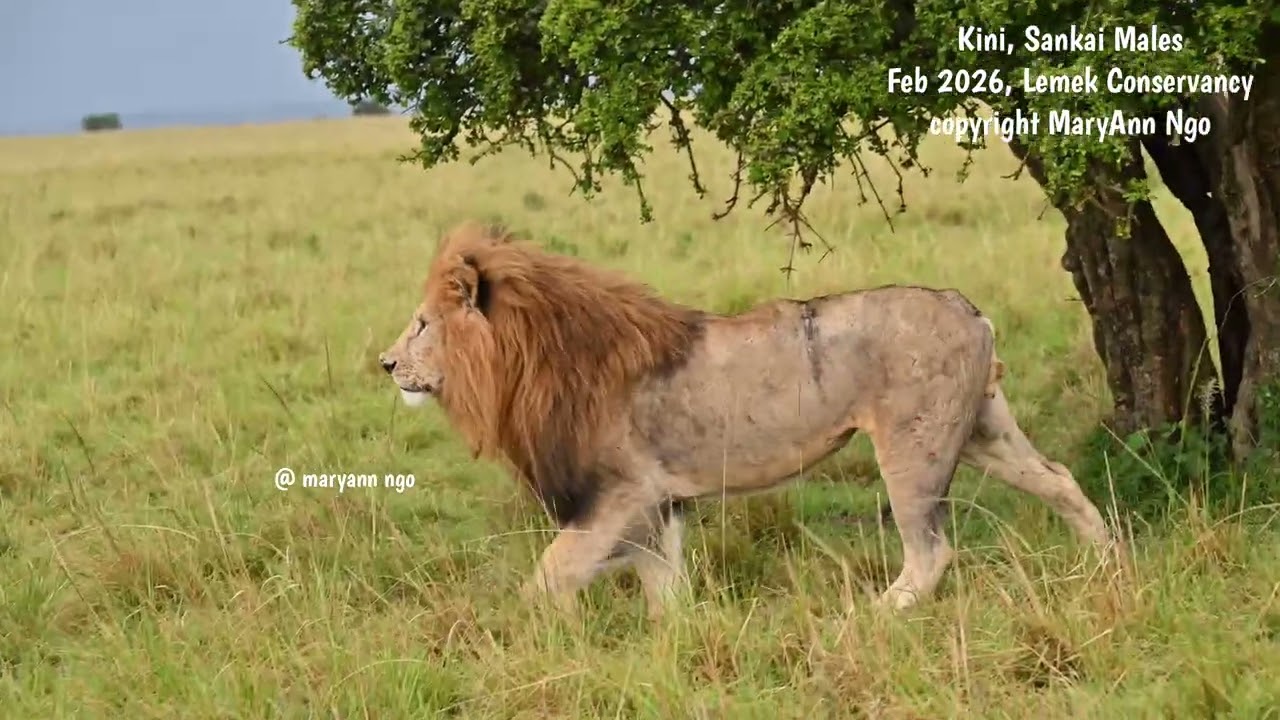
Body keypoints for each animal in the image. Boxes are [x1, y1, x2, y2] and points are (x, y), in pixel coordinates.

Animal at [378, 221, 1114, 618]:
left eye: (421, 324)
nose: (385, 364)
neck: (534, 360)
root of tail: (969, 307)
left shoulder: (619, 493)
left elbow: (552, 574)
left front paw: (528, 632)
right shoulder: (656, 501)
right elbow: (662, 583)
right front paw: (675, 641)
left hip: (914, 447)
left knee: (930, 550)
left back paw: (877, 615)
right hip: (983, 429)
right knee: (1060, 479)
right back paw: (1107, 564)